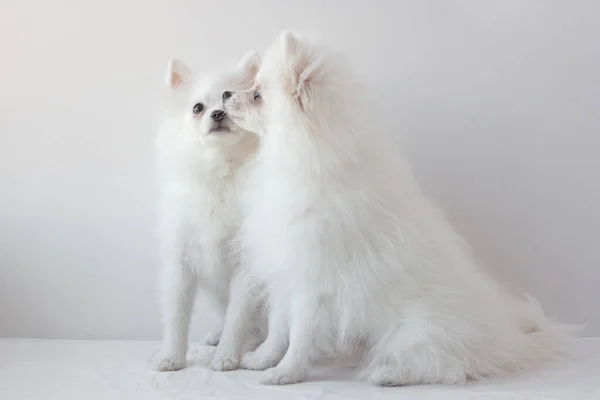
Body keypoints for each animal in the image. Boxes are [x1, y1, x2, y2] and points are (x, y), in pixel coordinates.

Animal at [155, 52, 262, 372]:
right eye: (197, 108)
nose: (217, 113)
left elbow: (237, 319)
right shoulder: (180, 263)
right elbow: (176, 317)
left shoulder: (246, 268)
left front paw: (226, 356)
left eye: (230, 100)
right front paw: (171, 357)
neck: (220, 170)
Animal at [224, 32, 572, 388]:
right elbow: (279, 328)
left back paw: (388, 373)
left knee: (446, 364)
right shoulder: (286, 271)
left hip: (419, 329)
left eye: (257, 94)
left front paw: (286, 372)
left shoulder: (314, 282)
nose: (226, 94)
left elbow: (299, 335)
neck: (306, 161)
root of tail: (508, 337)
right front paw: (262, 359)